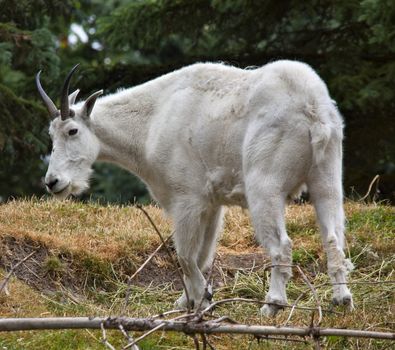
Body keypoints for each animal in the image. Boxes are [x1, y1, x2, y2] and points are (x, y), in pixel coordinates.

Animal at [35, 60, 354, 318]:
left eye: (72, 131)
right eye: (51, 134)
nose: (53, 182)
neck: (150, 123)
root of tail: (312, 110)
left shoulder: (187, 200)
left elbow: (185, 256)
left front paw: (202, 299)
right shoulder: (211, 204)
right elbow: (202, 255)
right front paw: (186, 302)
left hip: (265, 186)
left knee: (281, 246)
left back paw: (272, 305)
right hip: (327, 175)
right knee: (333, 237)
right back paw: (342, 300)